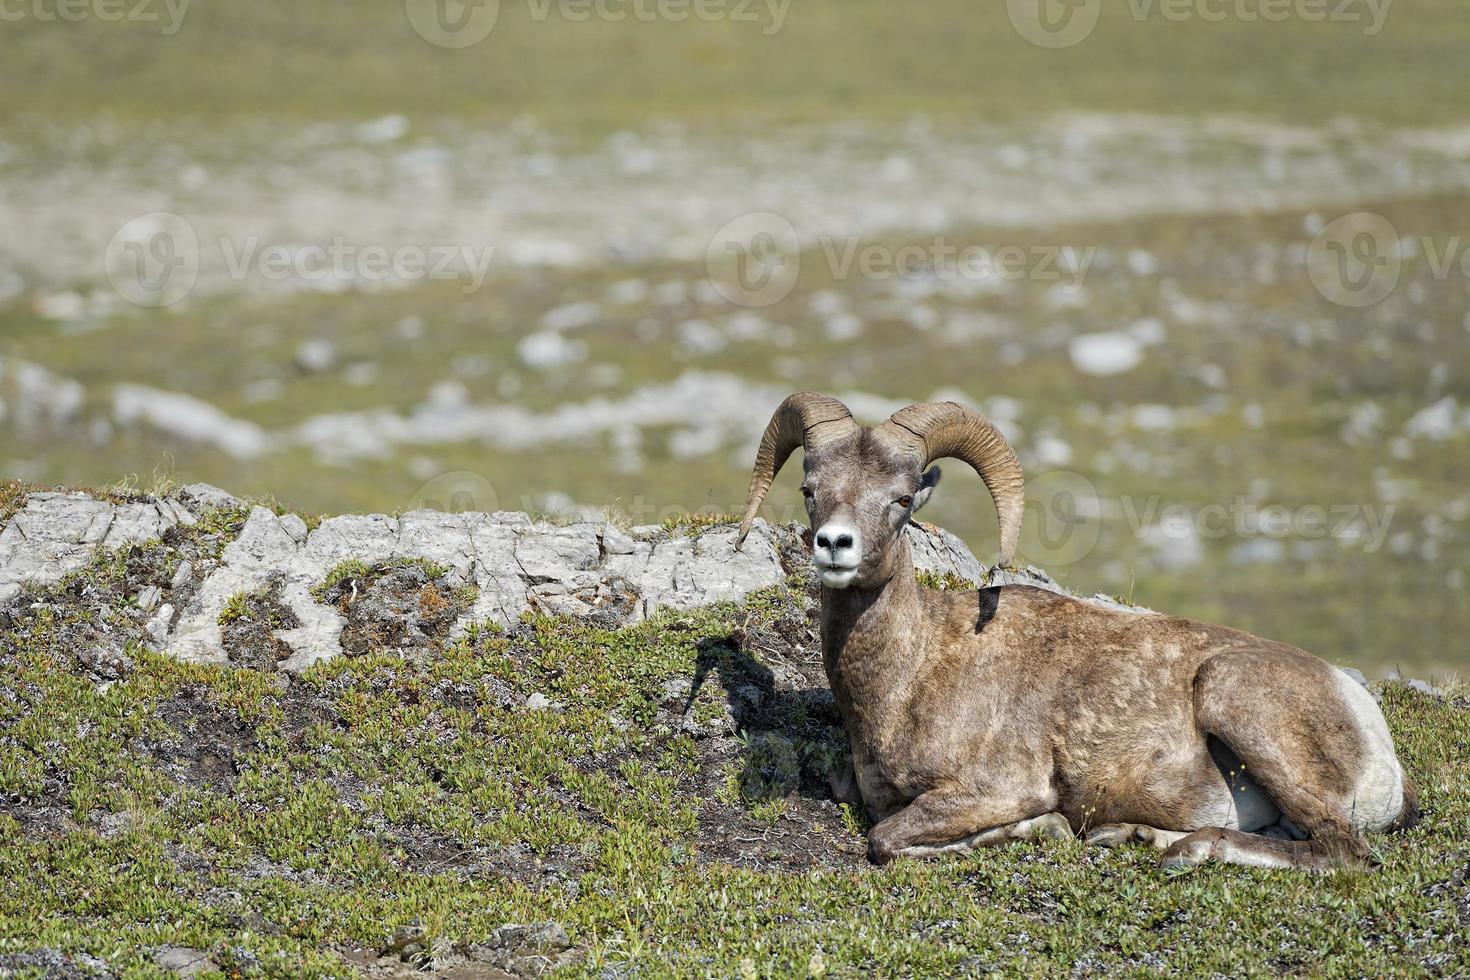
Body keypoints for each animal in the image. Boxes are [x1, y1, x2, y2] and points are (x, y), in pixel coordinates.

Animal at [740, 393, 1417, 869]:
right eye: (809, 489)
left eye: (902, 499)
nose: (835, 546)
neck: (910, 678)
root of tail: (1371, 732)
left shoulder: (995, 788)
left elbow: (885, 837)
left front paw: (1049, 828)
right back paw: (1132, 835)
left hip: (1236, 700)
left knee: (1340, 852)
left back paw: (1188, 851)